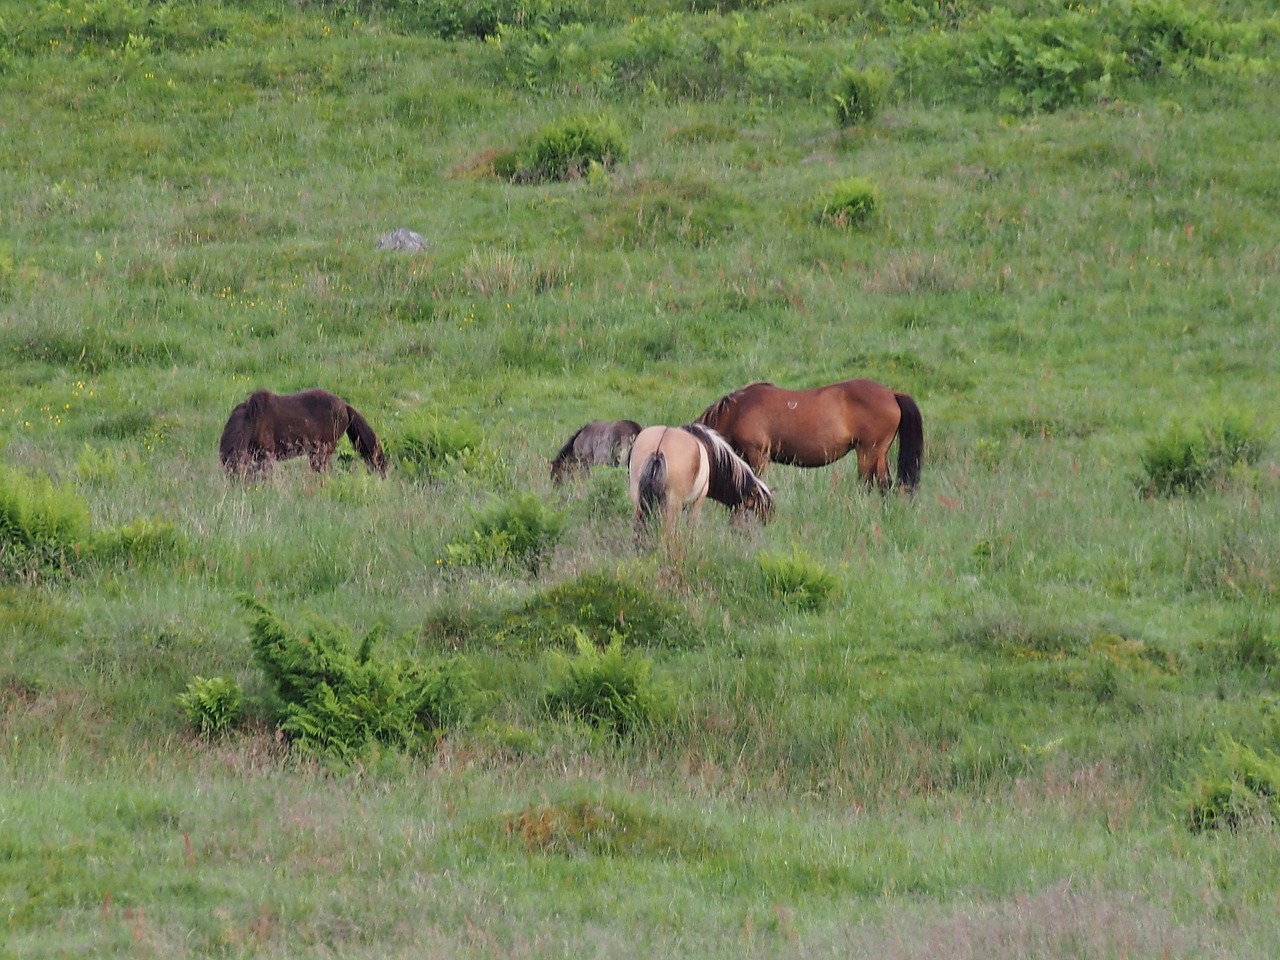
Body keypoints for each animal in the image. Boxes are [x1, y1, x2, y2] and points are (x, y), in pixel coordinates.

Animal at [627, 422, 768, 542]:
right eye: (752, 510)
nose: (754, 537)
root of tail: (658, 449)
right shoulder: (698, 500)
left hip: (638, 498)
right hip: (672, 502)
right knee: (666, 532)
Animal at [701, 378, 921, 491]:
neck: (739, 409)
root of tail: (892, 394)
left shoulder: (757, 455)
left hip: (868, 452)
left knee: (872, 483)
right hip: (879, 453)